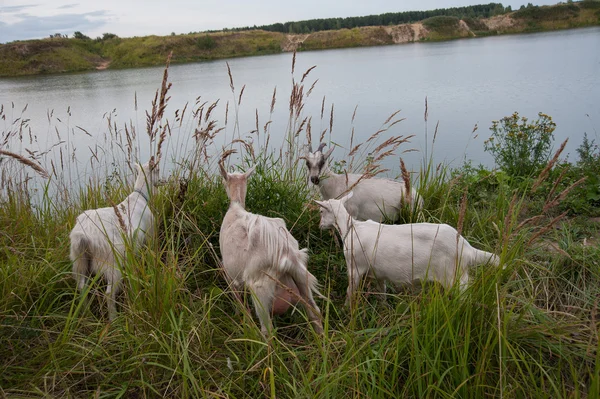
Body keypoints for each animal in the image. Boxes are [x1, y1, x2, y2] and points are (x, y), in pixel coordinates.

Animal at [69, 161, 159, 320]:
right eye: (158, 170)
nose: (162, 182)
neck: (139, 197)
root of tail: (83, 236)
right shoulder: (150, 233)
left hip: (79, 260)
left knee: (82, 287)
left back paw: (86, 314)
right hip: (111, 263)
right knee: (109, 293)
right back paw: (114, 319)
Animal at [219, 164, 324, 336]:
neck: (235, 207)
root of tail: (288, 254)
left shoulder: (230, 274)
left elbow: (239, 302)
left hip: (260, 289)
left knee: (267, 329)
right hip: (302, 280)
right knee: (315, 313)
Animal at [314, 192, 502, 308]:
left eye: (321, 211)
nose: (320, 226)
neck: (351, 228)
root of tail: (465, 247)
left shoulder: (354, 268)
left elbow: (349, 292)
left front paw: (345, 310)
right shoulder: (378, 274)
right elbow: (382, 293)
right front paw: (384, 309)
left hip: (454, 277)